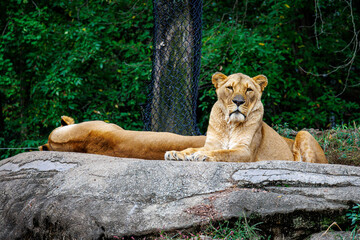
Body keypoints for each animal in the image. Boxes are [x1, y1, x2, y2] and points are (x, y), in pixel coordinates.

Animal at [165, 72, 328, 164]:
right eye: (230, 88)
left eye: (249, 89)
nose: (238, 101)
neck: (230, 124)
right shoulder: (212, 144)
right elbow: (191, 148)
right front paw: (175, 153)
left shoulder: (245, 151)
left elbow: (223, 153)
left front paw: (201, 155)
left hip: (303, 133)